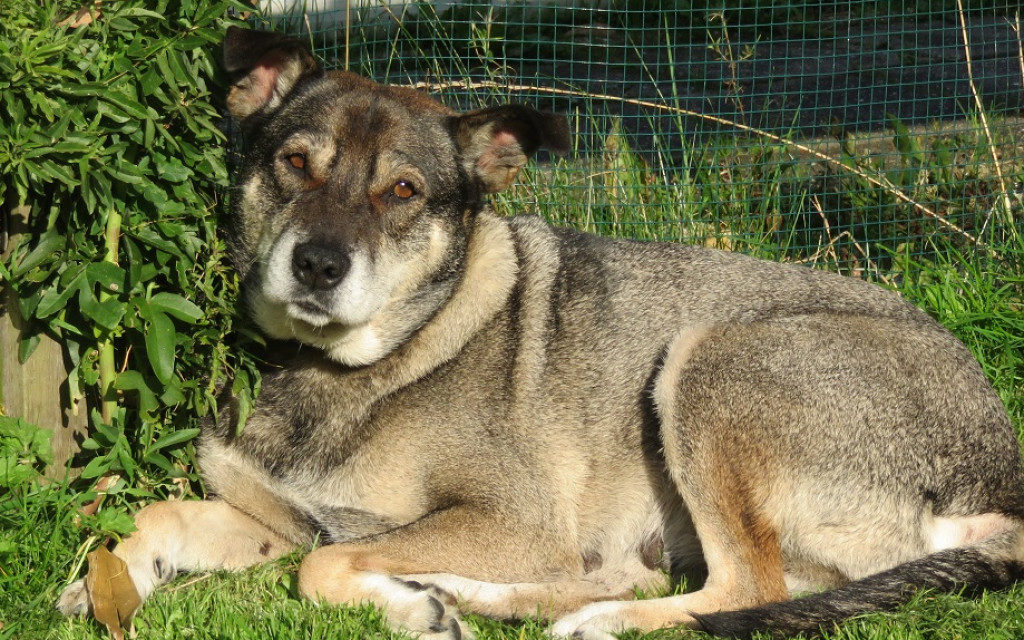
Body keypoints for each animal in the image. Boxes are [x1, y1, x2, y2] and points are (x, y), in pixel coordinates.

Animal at [58, 26, 1024, 638]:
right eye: (295, 162)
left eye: (403, 191)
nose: (318, 267)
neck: (341, 367)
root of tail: (1001, 478)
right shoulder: (283, 517)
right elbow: (164, 514)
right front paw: (99, 584)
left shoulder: (507, 519)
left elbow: (320, 570)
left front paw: (407, 605)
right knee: (669, 574)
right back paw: (479, 596)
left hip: (709, 361)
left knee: (737, 589)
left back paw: (573, 617)